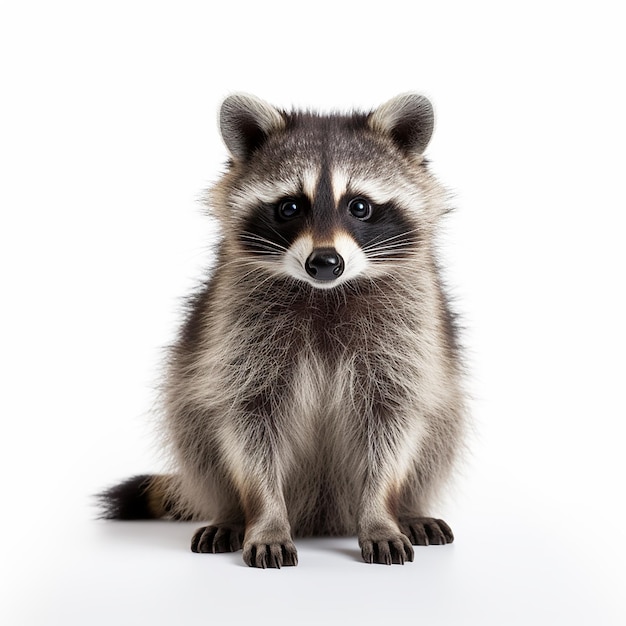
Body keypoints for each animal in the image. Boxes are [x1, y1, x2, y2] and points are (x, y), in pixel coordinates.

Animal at [100, 91, 466, 564]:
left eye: (360, 206)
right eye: (290, 207)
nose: (325, 262)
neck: (327, 292)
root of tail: (321, 516)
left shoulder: (407, 333)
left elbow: (395, 421)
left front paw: (381, 512)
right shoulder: (236, 331)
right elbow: (244, 421)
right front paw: (265, 517)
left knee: (438, 431)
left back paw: (409, 509)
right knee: (198, 436)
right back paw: (231, 515)